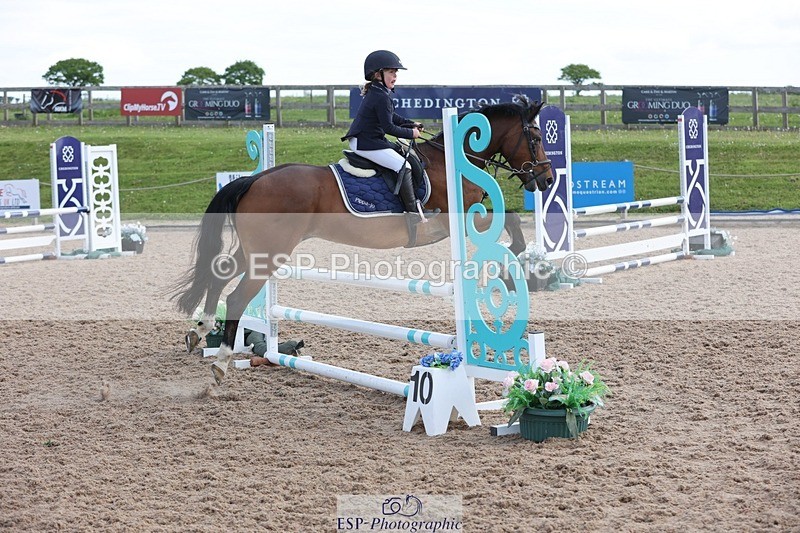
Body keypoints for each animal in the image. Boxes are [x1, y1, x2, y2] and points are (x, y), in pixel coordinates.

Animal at [171, 96, 554, 384]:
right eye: (535, 139)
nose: (547, 179)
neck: (451, 161)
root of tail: (254, 179)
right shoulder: (455, 220)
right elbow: (511, 220)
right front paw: (513, 268)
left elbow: (510, 220)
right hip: (269, 254)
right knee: (236, 297)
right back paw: (220, 363)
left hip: (254, 251)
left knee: (219, 273)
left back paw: (201, 329)